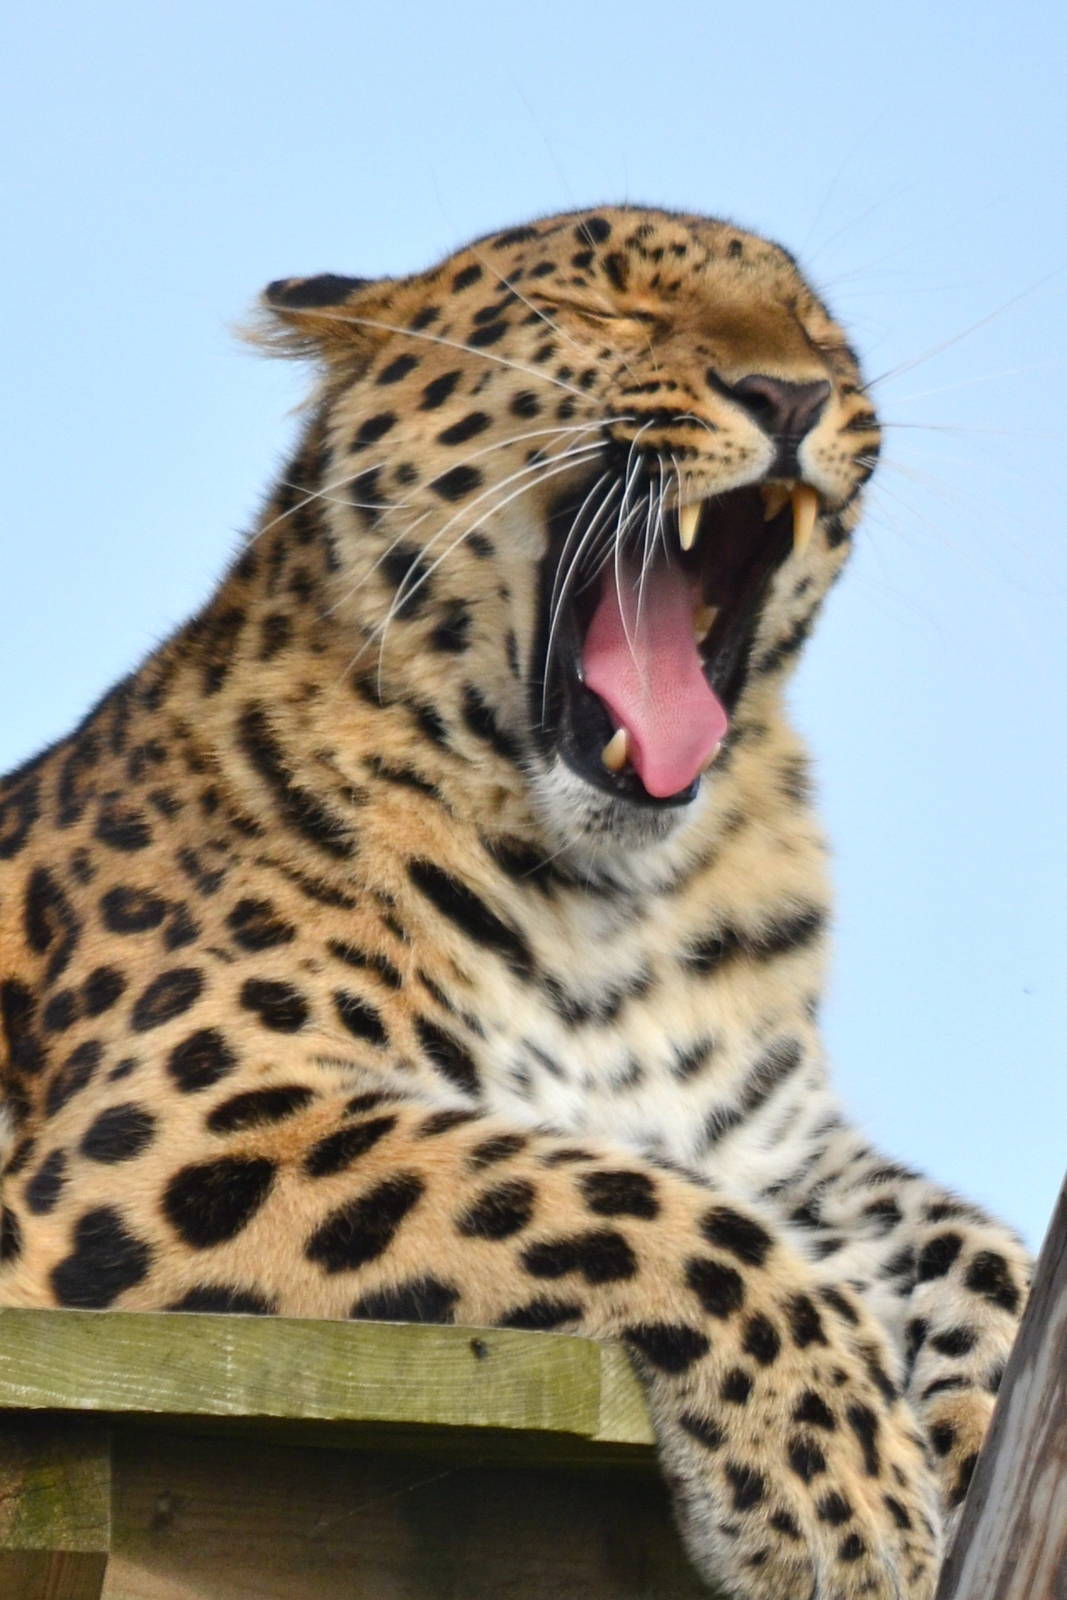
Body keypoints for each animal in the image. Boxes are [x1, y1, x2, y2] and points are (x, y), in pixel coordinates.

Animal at [0, 206, 1030, 1599]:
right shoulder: (174, 1121)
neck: (617, 900)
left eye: (822, 339)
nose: (788, 393)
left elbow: (971, 1236)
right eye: (607, 311)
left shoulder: (773, 1146)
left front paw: (979, 1425)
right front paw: (840, 1490)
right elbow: (607, 1195)